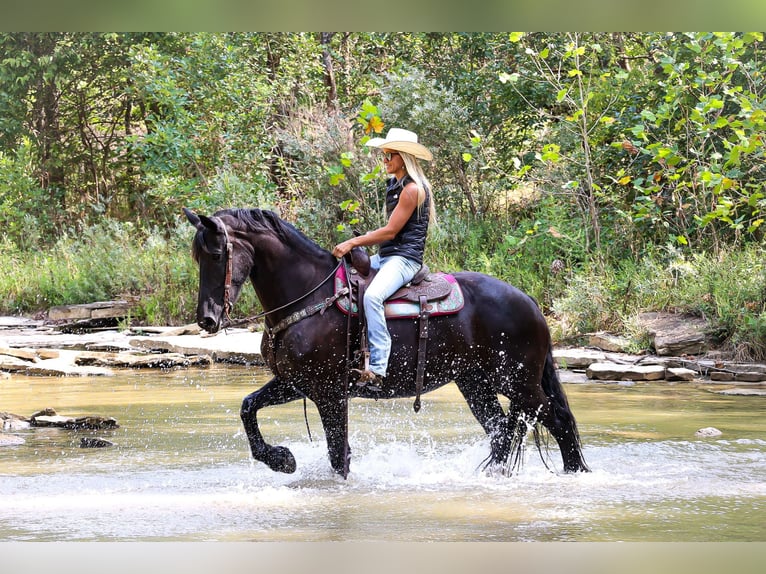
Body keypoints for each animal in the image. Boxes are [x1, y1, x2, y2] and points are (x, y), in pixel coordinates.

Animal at [183, 207, 588, 478]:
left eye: (216, 254)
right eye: (197, 257)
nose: (207, 318)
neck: (308, 295)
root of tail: (529, 301)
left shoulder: (329, 392)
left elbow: (338, 455)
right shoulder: (296, 383)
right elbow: (248, 407)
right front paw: (282, 459)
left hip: (517, 382)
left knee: (558, 421)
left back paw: (575, 475)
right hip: (476, 383)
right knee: (502, 431)